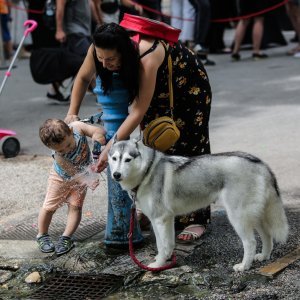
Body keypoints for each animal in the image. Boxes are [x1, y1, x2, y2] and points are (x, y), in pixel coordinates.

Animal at [108, 139, 288, 270]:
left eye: (128, 159)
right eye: (114, 158)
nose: (116, 175)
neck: (147, 171)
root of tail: (260, 163)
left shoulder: (159, 220)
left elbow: (163, 245)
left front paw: (158, 266)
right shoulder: (164, 219)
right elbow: (166, 245)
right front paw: (164, 260)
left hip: (238, 218)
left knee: (250, 243)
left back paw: (244, 266)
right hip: (255, 216)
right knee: (267, 236)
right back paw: (263, 256)